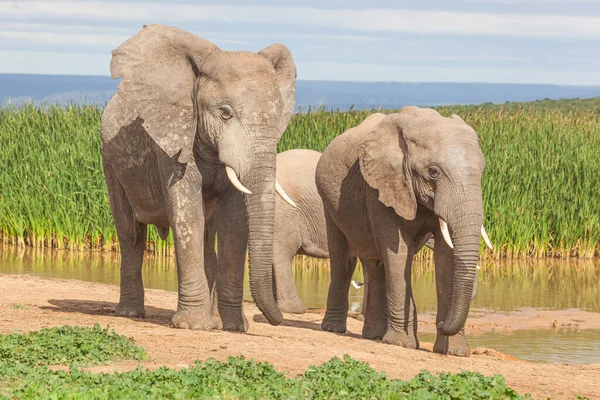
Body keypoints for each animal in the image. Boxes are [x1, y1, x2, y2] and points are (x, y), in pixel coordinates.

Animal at [101, 25, 298, 332]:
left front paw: (233, 327)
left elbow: (234, 222)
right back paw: (130, 313)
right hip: (110, 160)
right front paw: (192, 326)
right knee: (131, 234)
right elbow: (187, 213)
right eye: (225, 113)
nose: (278, 319)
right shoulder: (172, 137)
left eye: (279, 118)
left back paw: (213, 320)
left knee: (207, 239)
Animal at [314, 107, 492, 356]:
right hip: (329, 201)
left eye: (482, 172)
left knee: (374, 263)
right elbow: (397, 252)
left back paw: (374, 336)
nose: (441, 323)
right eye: (433, 172)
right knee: (344, 260)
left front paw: (454, 352)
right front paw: (401, 343)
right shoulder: (381, 185)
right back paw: (334, 329)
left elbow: (446, 256)